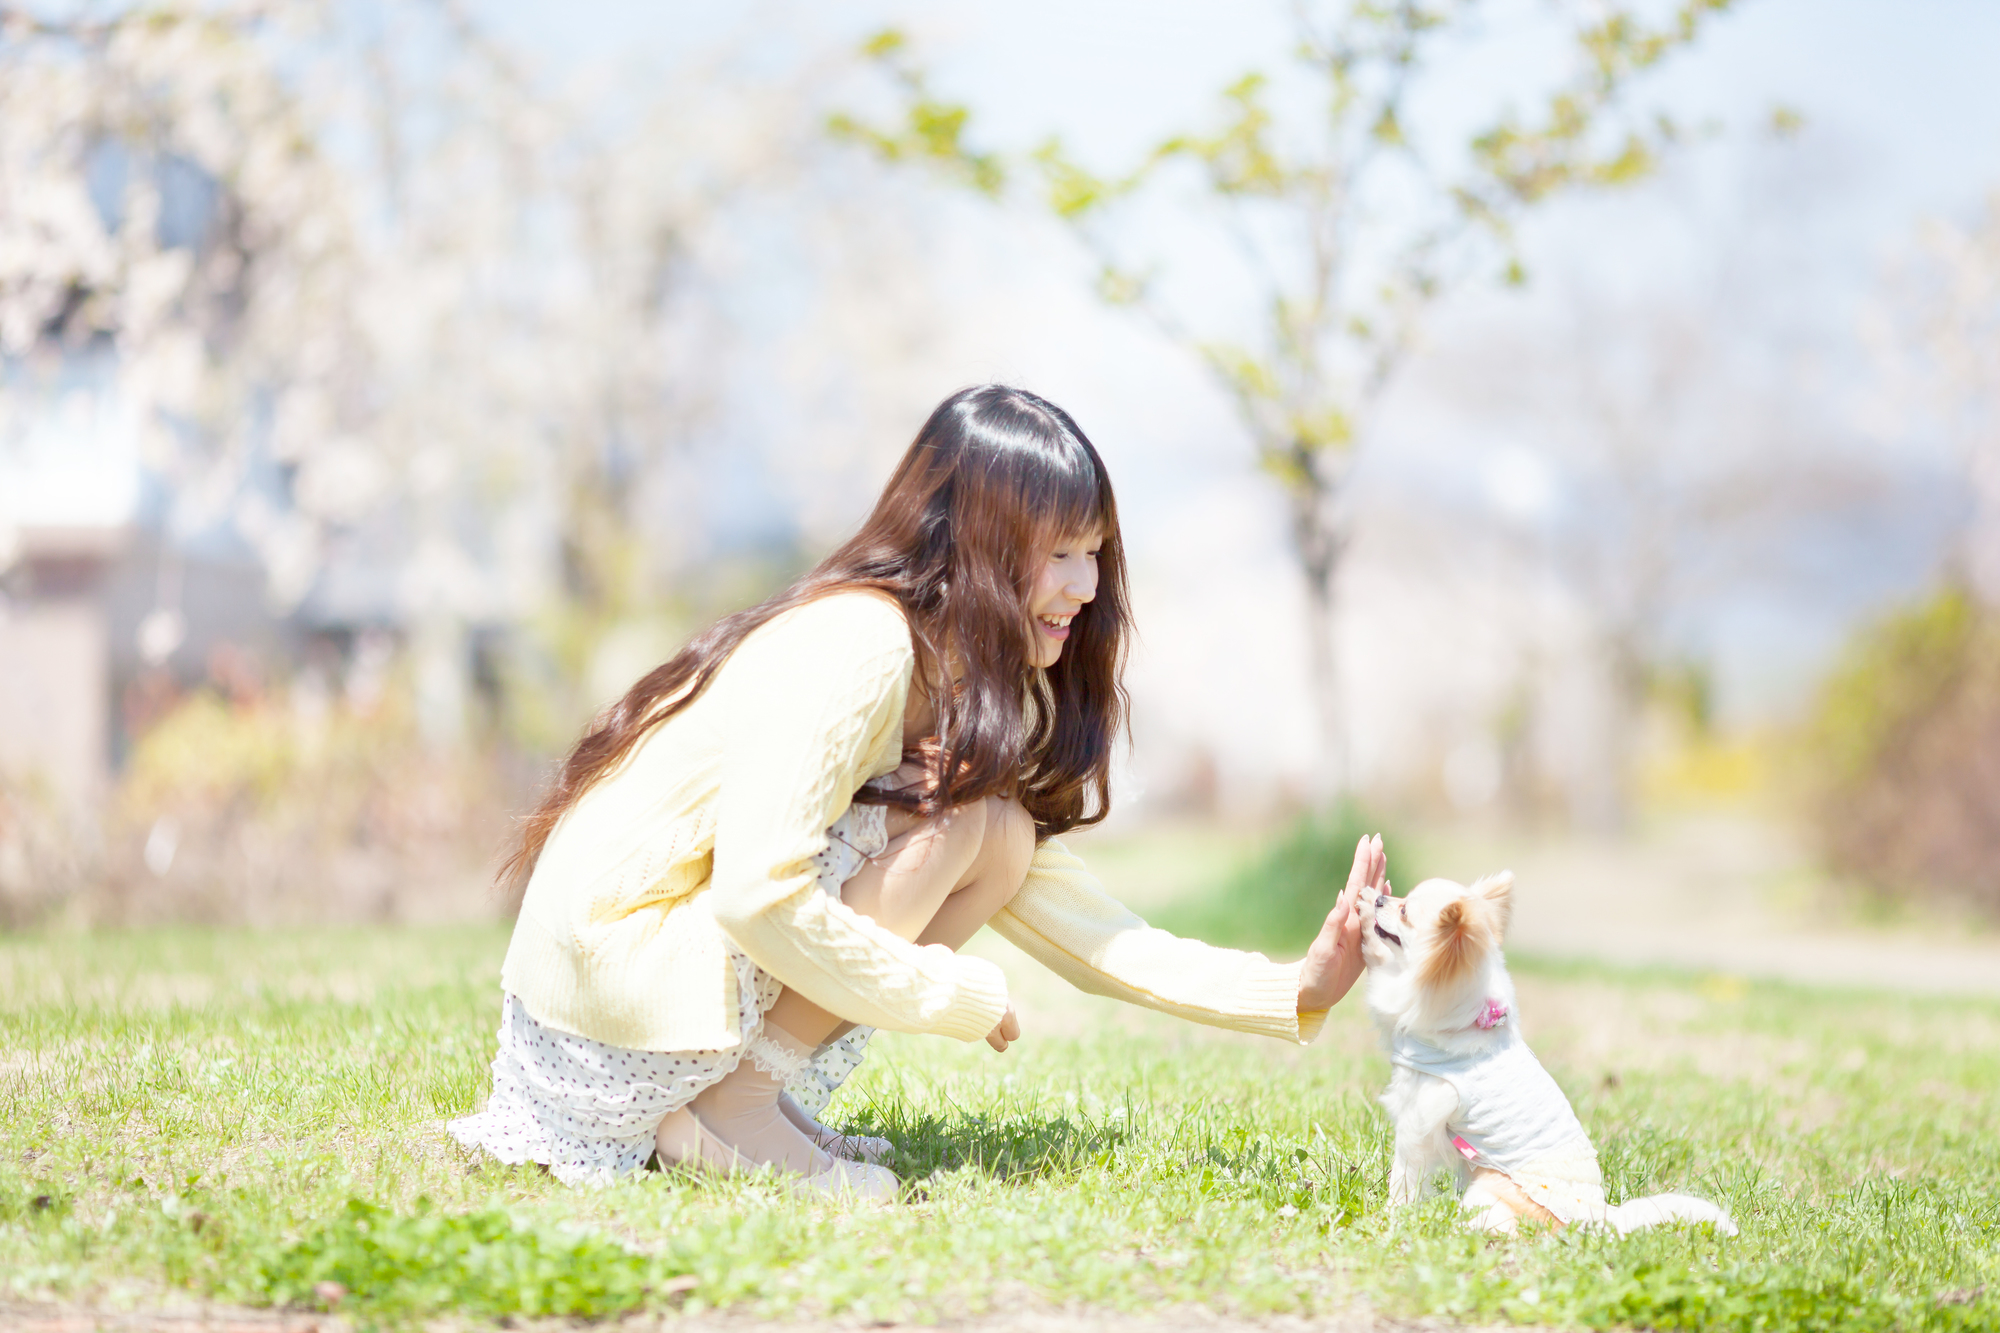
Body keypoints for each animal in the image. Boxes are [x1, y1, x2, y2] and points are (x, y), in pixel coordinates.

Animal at [1360, 872, 1736, 1232]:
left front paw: (1391, 1215)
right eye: (1398, 899)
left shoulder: (1417, 1119)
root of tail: (1602, 1218)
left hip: (1489, 1191)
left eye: (1404, 911)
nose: (1380, 899)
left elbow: (1404, 1176)